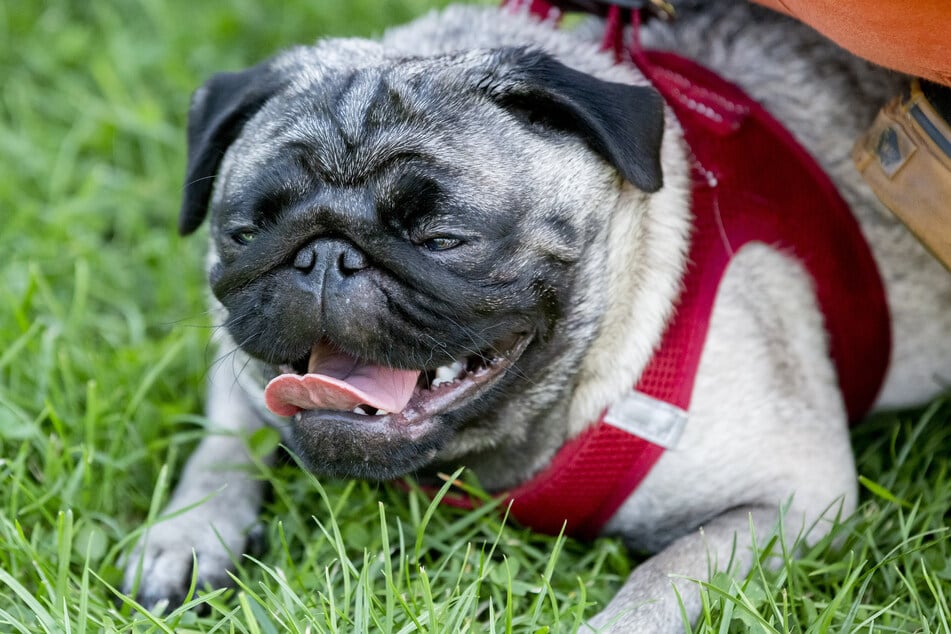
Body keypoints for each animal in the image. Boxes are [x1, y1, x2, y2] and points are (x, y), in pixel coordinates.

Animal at [124, 2, 951, 628]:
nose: (325, 255)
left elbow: (662, 578)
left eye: (442, 240)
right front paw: (187, 534)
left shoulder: (792, 499)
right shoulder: (240, 370)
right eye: (246, 232)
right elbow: (223, 444)